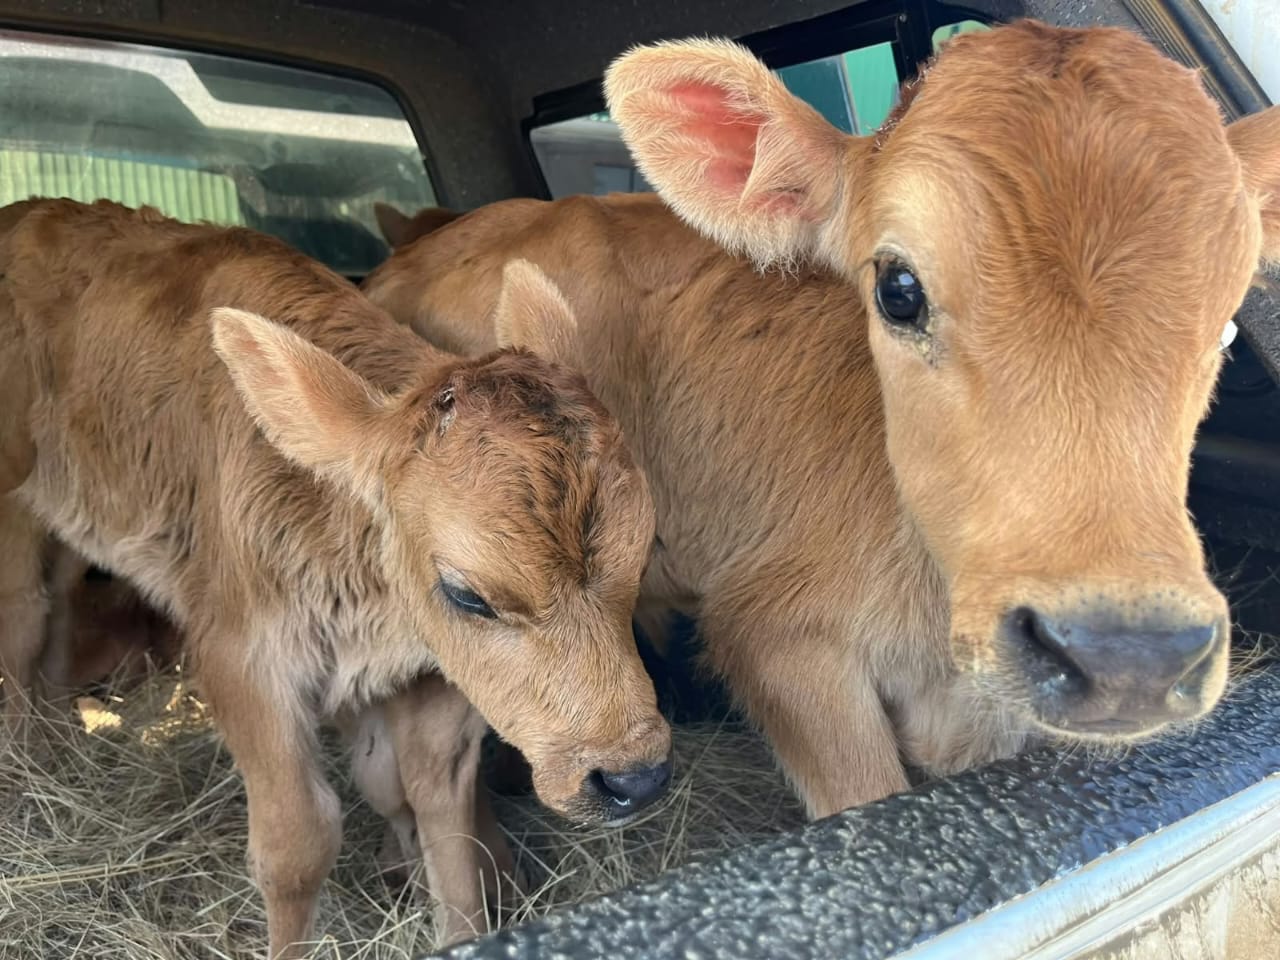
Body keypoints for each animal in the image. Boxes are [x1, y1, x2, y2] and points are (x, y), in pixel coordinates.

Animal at [0, 198, 670, 956]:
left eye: (644, 552)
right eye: (467, 594)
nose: (634, 777)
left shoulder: (430, 677)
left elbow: (433, 802)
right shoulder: (241, 659)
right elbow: (298, 846)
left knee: (57, 612)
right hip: (13, 497)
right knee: (22, 617)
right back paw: (23, 770)